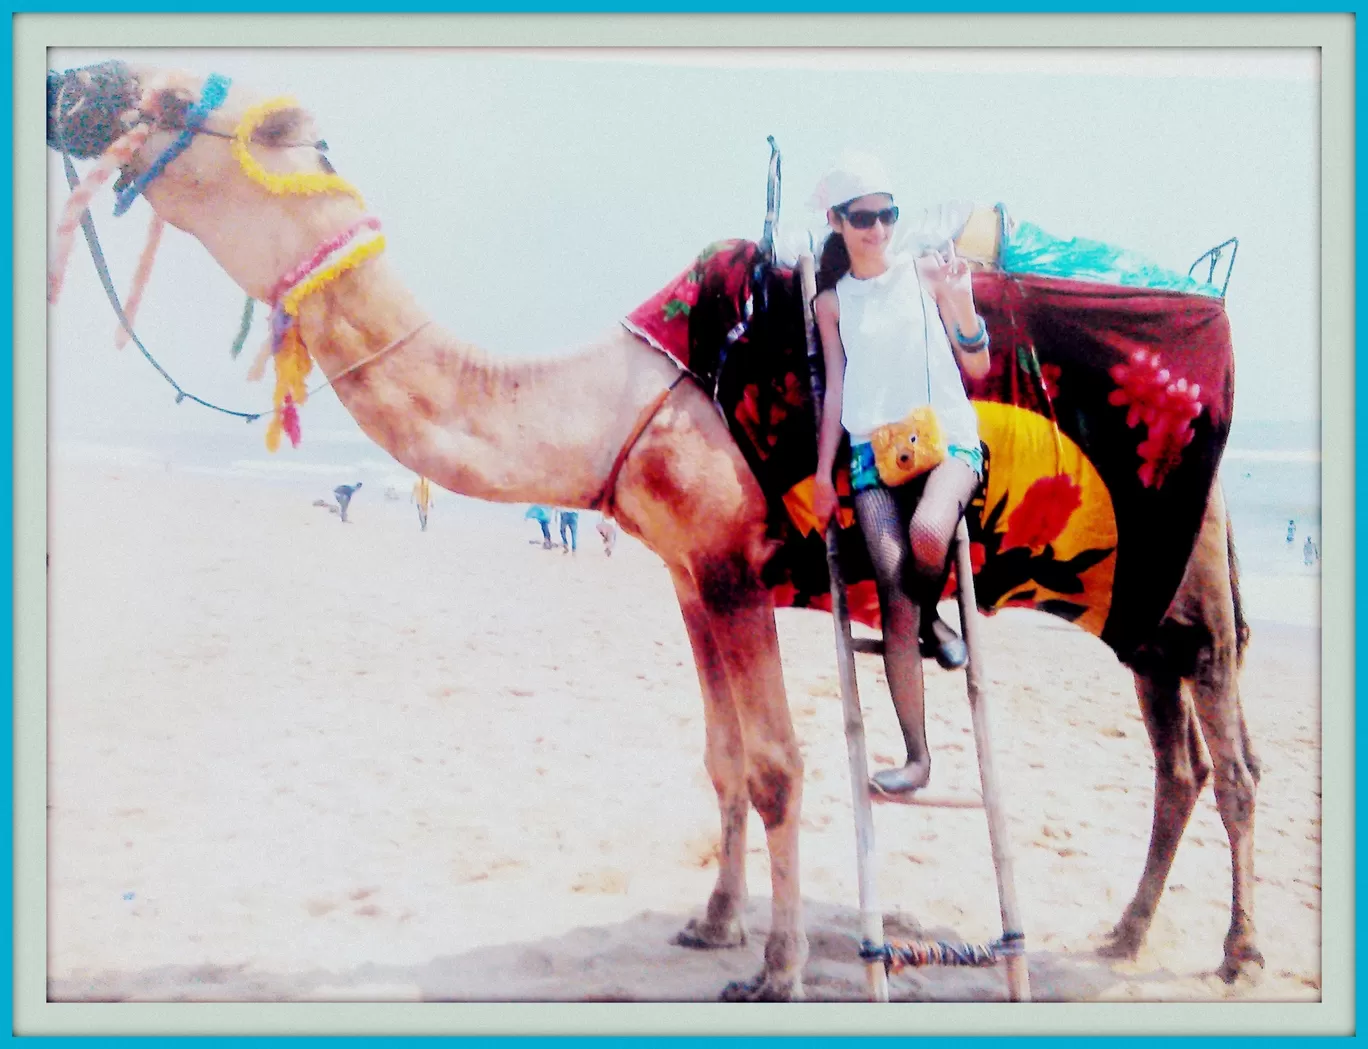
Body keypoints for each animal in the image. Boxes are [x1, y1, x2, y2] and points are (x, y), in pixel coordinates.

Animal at [48, 63, 1264, 1001]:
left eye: (176, 97)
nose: (71, 88)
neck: (617, 395)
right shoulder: (687, 575)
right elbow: (721, 760)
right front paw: (710, 922)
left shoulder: (732, 569)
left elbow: (776, 767)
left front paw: (776, 967)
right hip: (1144, 608)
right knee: (1177, 760)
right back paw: (1123, 933)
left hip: (1186, 578)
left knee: (1232, 759)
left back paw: (1237, 953)